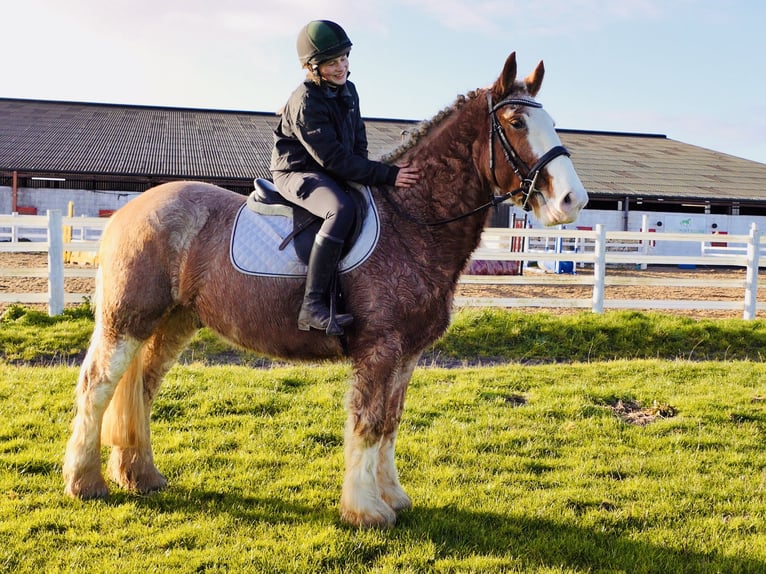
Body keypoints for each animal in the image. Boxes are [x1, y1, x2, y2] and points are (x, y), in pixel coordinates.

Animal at [63, 52, 588, 528]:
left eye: (552, 122)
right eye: (516, 121)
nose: (573, 201)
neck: (412, 220)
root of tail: (130, 210)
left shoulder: (406, 355)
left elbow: (390, 423)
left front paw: (392, 497)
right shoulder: (379, 350)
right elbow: (368, 423)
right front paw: (365, 511)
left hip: (173, 323)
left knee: (142, 388)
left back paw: (140, 475)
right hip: (126, 320)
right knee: (97, 386)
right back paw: (85, 483)